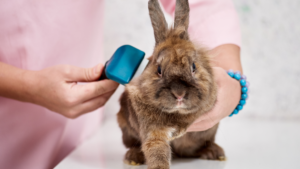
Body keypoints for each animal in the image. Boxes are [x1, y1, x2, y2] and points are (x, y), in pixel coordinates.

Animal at [117, 0, 225, 168]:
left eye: (193, 67)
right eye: (159, 70)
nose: (179, 94)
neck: (176, 113)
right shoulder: (154, 133)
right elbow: (157, 151)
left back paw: (215, 153)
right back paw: (133, 158)